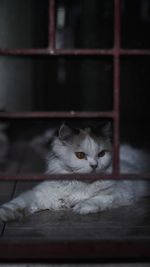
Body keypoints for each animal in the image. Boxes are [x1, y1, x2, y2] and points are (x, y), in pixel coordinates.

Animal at [0, 123, 149, 222]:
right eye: (80, 155)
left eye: (101, 154)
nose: (94, 165)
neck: (79, 184)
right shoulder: (38, 194)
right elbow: (17, 203)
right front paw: (5, 214)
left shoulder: (122, 193)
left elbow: (99, 199)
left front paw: (82, 207)